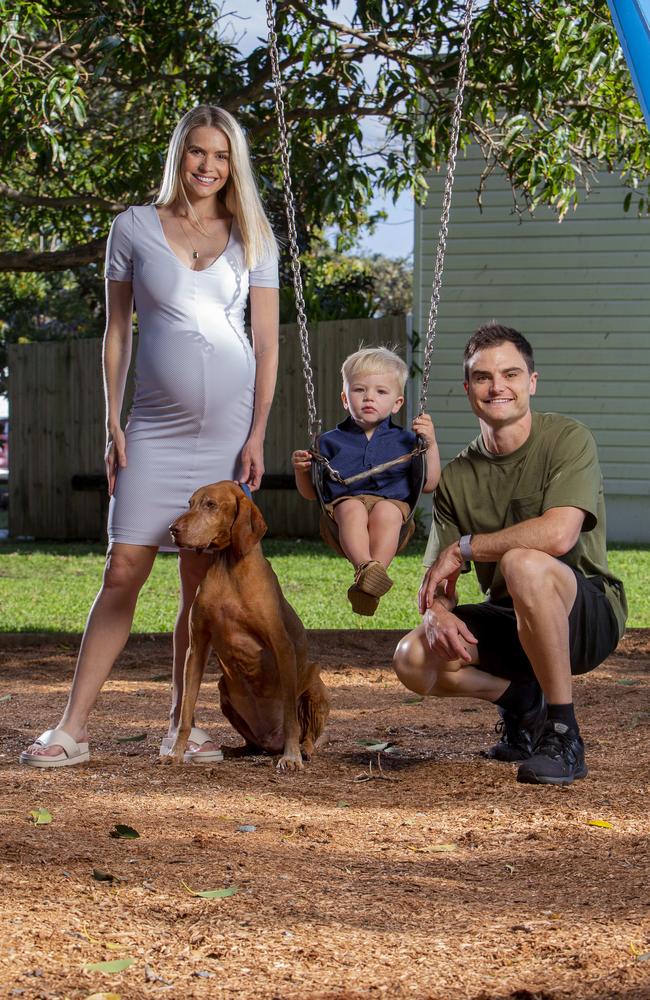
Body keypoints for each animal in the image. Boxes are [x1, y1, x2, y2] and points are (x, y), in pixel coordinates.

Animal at [167, 480, 330, 768]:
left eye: (211, 505)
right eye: (190, 503)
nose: (173, 530)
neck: (229, 567)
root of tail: (271, 741)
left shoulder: (282, 646)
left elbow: (291, 718)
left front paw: (291, 757)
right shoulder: (196, 648)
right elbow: (186, 709)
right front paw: (176, 752)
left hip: (315, 682)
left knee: (308, 734)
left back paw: (303, 750)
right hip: (223, 688)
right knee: (253, 743)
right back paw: (237, 749)